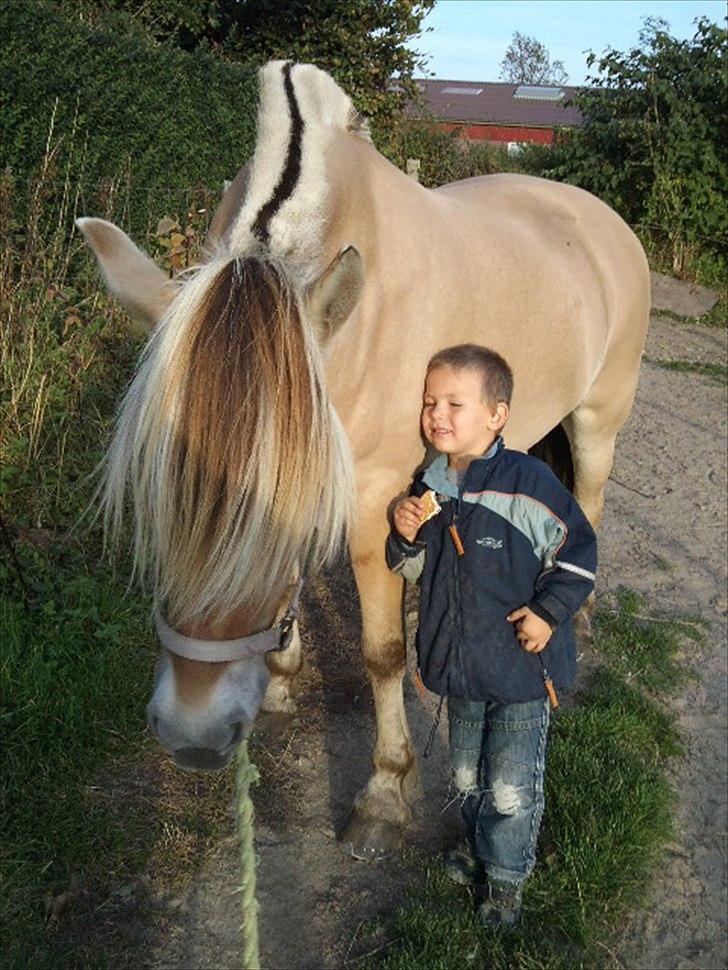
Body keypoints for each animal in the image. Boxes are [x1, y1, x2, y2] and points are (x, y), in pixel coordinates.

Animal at [78, 60, 648, 860]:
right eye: (161, 493)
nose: (194, 736)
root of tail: (601, 217)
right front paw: (279, 681)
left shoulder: (375, 496)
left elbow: (381, 653)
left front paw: (383, 792)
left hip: (599, 418)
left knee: (587, 503)